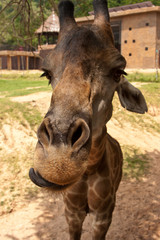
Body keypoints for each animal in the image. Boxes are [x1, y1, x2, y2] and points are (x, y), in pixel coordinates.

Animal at [29, 0, 148, 239]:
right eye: (47, 73)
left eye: (118, 71)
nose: (58, 162)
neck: (89, 170)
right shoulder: (72, 212)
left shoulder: (104, 214)